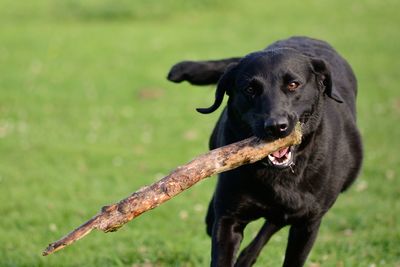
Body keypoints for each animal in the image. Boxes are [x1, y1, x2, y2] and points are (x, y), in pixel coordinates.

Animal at [167, 37, 360, 267]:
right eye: (250, 89)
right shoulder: (228, 220)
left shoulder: (308, 224)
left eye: (293, 84)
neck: (279, 175)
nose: (276, 126)